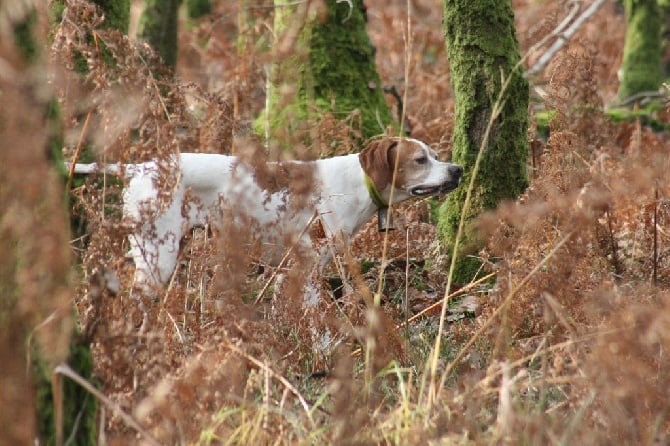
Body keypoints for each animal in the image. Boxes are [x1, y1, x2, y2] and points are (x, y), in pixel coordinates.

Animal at [71, 136, 464, 296]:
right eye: (420, 160)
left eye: (434, 155)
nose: (458, 169)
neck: (357, 182)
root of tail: (140, 167)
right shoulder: (306, 266)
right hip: (159, 257)